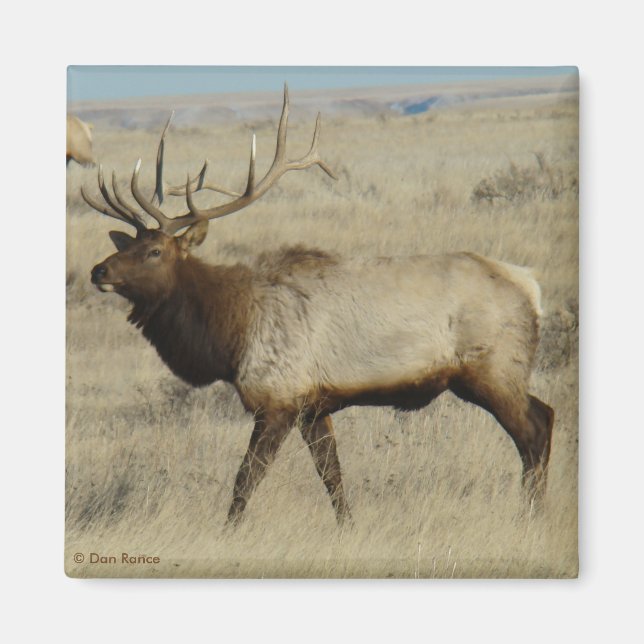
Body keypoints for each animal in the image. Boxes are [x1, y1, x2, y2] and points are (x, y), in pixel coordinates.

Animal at [81, 86, 554, 527]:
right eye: (127, 245)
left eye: (155, 251)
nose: (98, 270)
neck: (231, 332)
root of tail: (531, 286)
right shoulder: (314, 405)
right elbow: (332, 476)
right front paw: (348, 527)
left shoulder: (278, 397)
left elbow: (246, 478)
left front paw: (227, 532)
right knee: (546, 416)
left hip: (491, 368)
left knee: (535, 429)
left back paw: (529, 515)